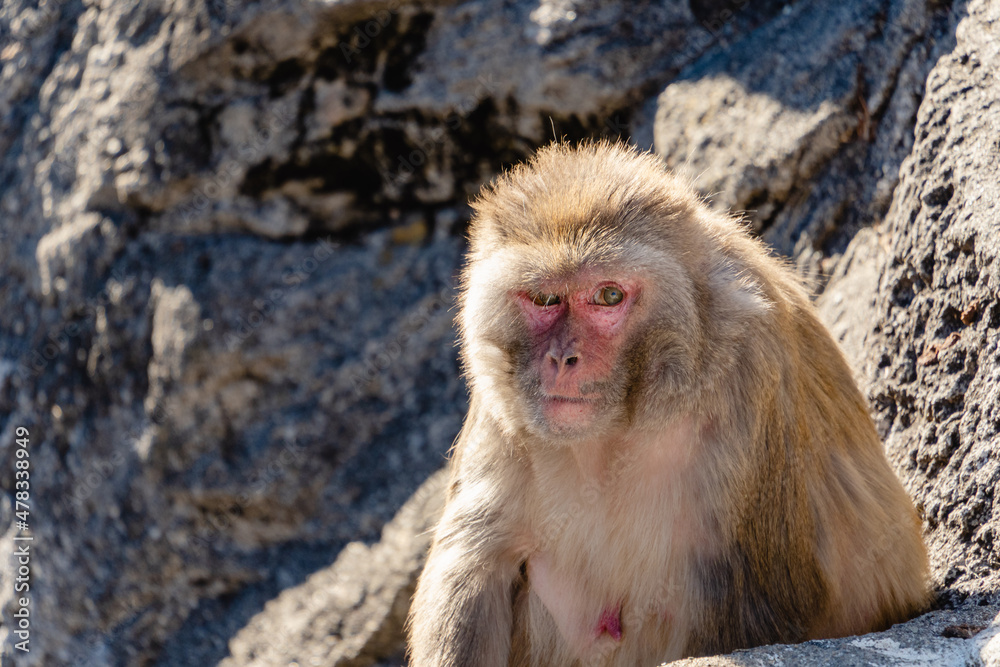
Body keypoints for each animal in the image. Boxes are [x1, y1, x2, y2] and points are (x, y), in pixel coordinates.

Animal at [408, 142, 928, 667]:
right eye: (545, 298)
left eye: (608, 295)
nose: (563, 358)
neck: (623, 424)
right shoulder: (501, 405)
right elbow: (475, 565)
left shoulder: (753, 367)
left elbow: (769, 594)